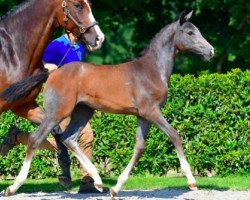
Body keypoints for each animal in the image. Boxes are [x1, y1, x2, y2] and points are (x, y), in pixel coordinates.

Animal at [2, 11, 214, 197]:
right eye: (190, 33)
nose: (211, 51)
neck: (151, 70)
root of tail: (52, 72)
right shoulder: (152, 111)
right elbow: (175, 135)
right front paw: (191, 181)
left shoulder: (143, 115)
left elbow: (139, 147)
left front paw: (116, 188)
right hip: (57, 113)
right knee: (36, 139)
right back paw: (13, 187)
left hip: (83, 112)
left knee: (69, 138)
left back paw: (97, 181)